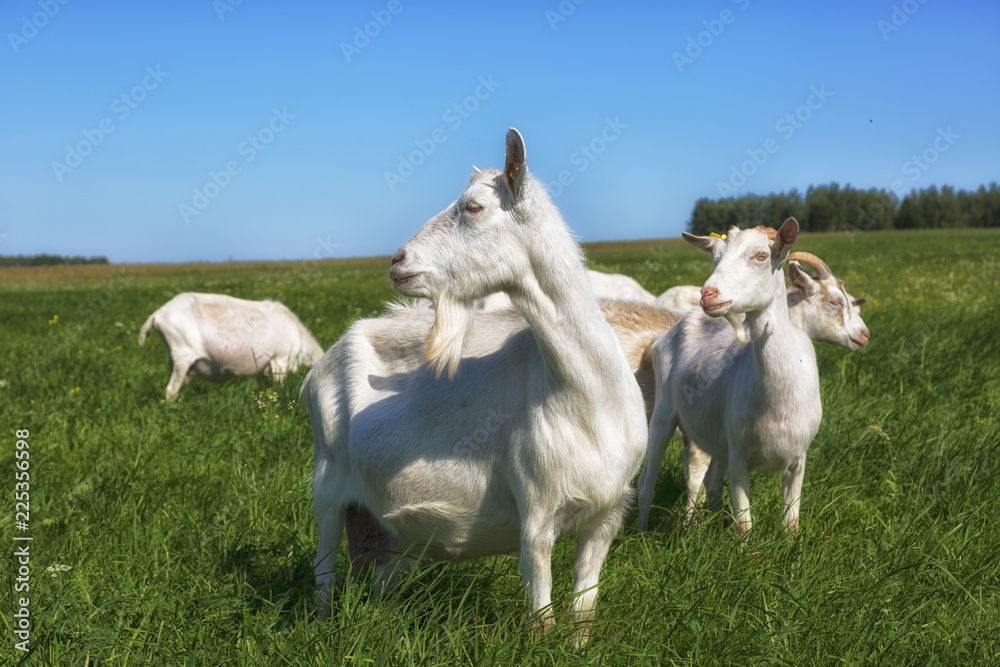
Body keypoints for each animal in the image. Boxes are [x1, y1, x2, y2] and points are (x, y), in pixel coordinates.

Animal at [302, 129, 648, 640]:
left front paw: (579, 644)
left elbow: (584, 609)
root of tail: (323, 361)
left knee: (380, 578)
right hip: (327, 484)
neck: (586, 397)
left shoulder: (608, 515)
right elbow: (541, 611)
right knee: (324, 572)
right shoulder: (536, 508)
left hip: (386, 529)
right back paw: (323, 625)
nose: (397, 261)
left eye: (473, 207)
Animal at [640, 222, 820, 536]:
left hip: (719, 441)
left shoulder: (798, 461)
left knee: (712, 485)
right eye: (715, 256)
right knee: (648, 482)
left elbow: (791, 525)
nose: (708, 294)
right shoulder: (739, 457)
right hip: (663, 415)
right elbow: (745, 525)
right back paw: (640, 529)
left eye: (761, 255)